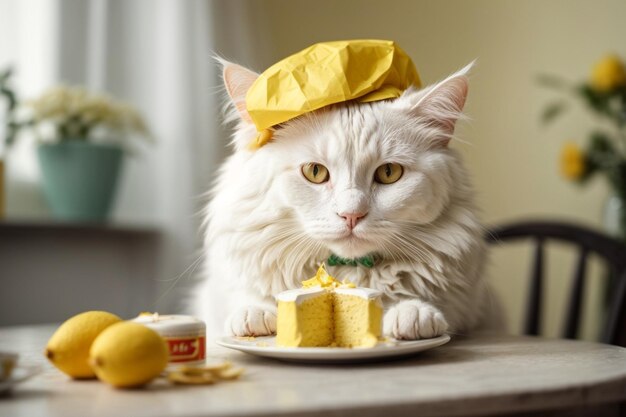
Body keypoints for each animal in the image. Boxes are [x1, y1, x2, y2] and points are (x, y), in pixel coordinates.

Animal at [193, 57, 494, 338]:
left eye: (389, 172)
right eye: (315, 172)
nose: (352, 215)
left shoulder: (471, 304)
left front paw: (412, 313)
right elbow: (247, 300)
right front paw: (254, 315)